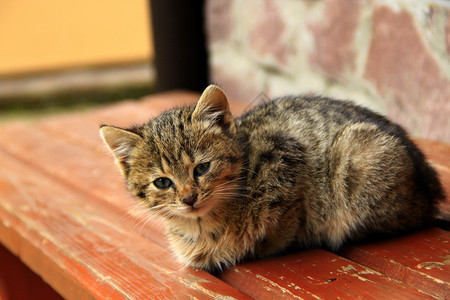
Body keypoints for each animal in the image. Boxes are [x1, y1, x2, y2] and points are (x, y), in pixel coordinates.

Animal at [101, 84, 442, 272]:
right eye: (162, 182)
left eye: (202, 168)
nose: (188, 198)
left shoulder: (288, 157)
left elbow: (284, 224)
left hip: (359, 153)